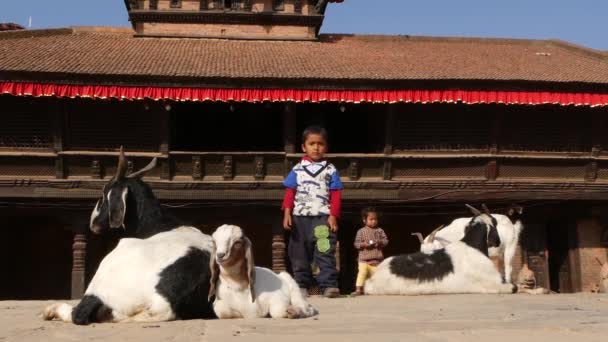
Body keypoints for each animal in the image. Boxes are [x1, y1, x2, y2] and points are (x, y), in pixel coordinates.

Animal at [42, 148, 215, 324]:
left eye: (103, 195)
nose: (92, 222)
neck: (161, 225)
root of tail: (166, 304)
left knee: (78, 312)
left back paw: (52, 310)